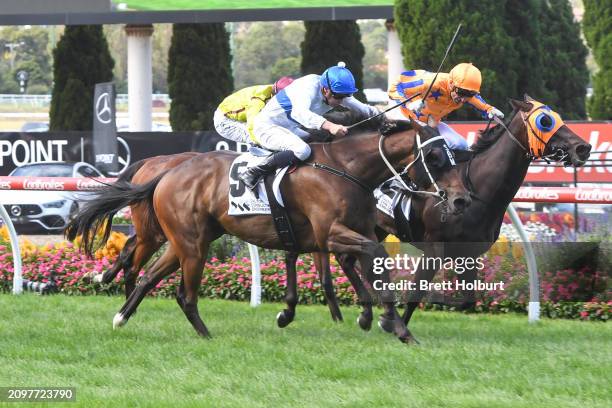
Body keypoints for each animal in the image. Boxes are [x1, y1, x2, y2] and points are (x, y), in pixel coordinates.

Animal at [65, 120, 468, 342]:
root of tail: (166, 173)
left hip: (186, 241)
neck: (346, 168)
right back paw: (205, 335)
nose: (460, 199)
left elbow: (366, 265)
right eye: (434, 157)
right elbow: (370, 258)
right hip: (191, 245)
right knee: (182, 293)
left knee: (150, 276)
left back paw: (122, 316)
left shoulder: (354, 231)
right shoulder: (330, 233)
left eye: (453, 155)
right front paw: (389, 322)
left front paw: (382, 319)